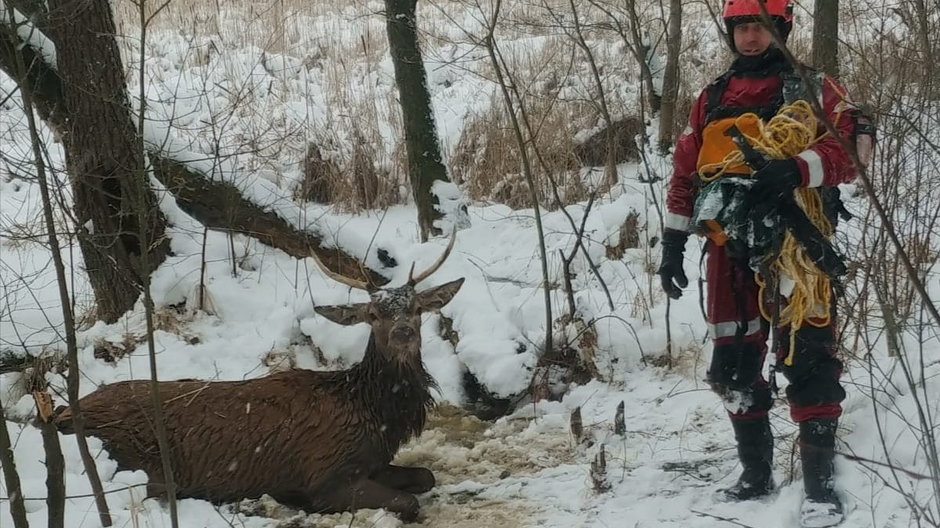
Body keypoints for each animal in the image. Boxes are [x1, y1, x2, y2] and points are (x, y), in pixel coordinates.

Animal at [55, 237, 462, 520]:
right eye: (374, 314)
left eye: (416, 308)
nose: (403, 332)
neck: (375, 415)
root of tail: (59, 413)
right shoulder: (326, 474)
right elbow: (408, 502)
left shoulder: (373, 463)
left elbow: (426, 476)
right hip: (134, 460)